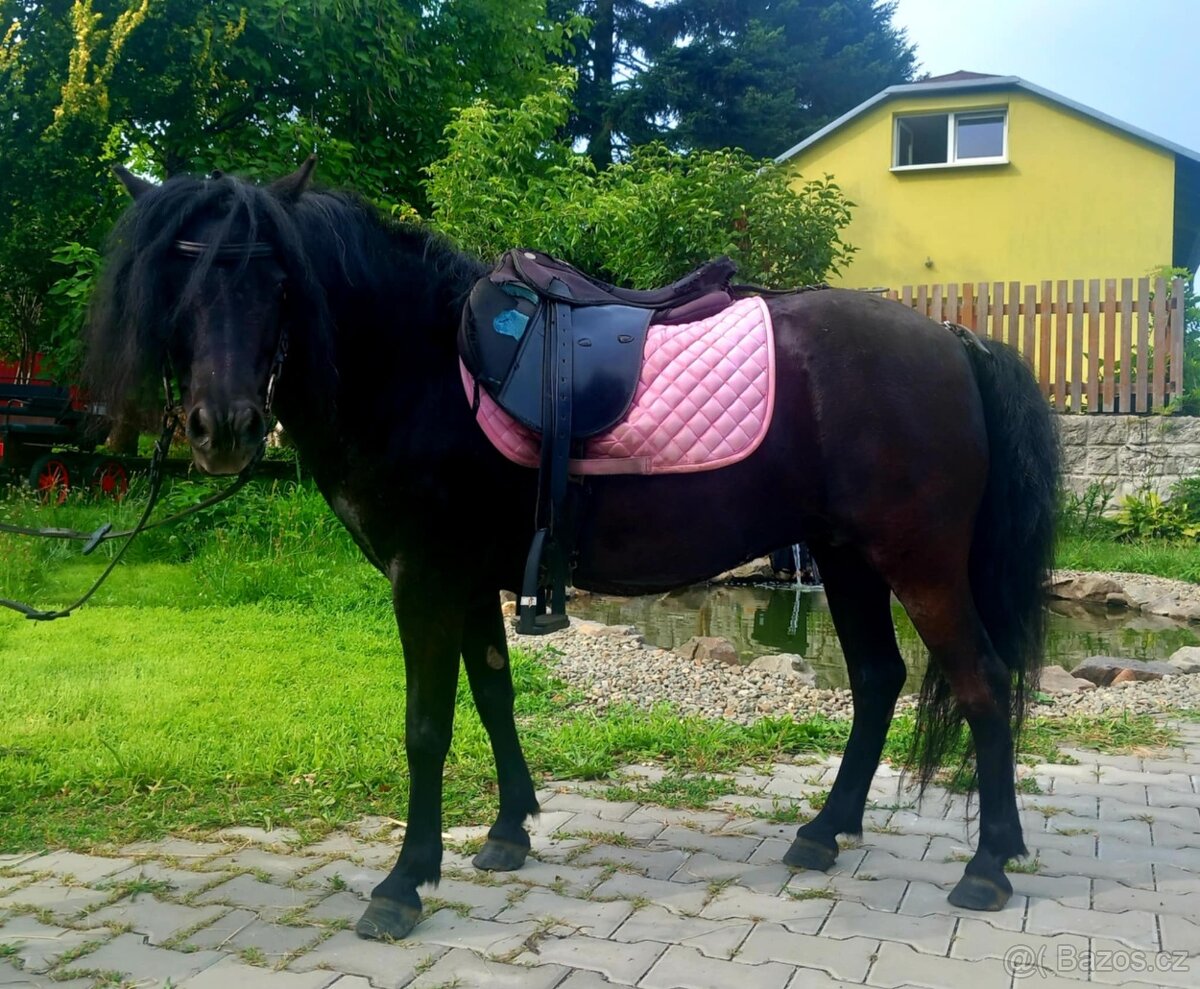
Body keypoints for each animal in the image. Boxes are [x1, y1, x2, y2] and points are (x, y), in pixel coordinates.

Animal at [86, 160, 1059, 941]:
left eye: (278, 281)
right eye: (174, 284)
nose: (224, 428)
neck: (421, 367)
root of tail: (954, 339)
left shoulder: (424, 580)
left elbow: (427, 727)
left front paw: (403, 883)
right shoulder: (468, 581)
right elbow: (493, 696)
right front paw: (507, 832)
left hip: (918, 562)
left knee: (979, 680)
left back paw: (986, 866)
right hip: (846, 557)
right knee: (878, 680)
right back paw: (826, 833)